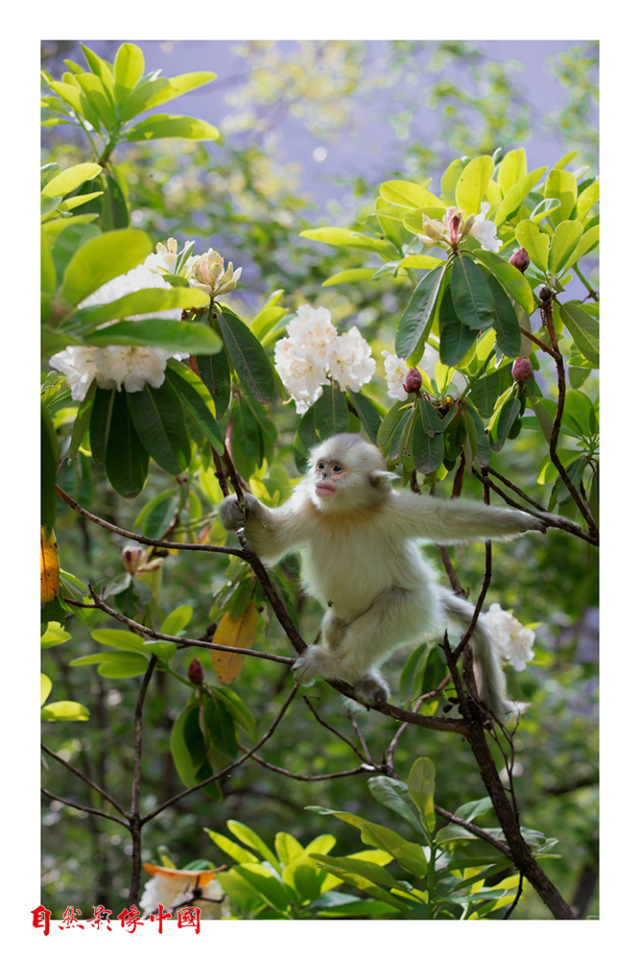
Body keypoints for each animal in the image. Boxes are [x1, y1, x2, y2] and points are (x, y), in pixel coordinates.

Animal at [219, 432, 544, 716]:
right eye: (321, 466)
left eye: (337, 469)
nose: (322, 478)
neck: (346, 512)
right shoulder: (308, 505)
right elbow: (270, 542)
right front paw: (241, 507)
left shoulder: (395, 510)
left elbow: (451, 519)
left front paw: (527, 521)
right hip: (350, 614)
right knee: (336, 626)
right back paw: (363, 680)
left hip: (417, 607)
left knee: (390, 612)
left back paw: (339, 666)